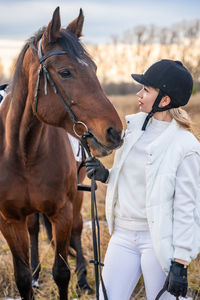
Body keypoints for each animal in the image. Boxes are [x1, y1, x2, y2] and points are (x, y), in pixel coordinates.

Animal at [0, 7, 122, 300]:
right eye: (65, 72)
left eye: (94, 69)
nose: (115, 131)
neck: (23, 152)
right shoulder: (9, 220)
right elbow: (22, 278)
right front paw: (30, 277)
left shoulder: (62, 212)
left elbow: (61, 273)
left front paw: (76, 279)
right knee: (33, 230)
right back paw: (36, 273)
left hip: (77, 200)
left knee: (77, 230)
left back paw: (84, 280)